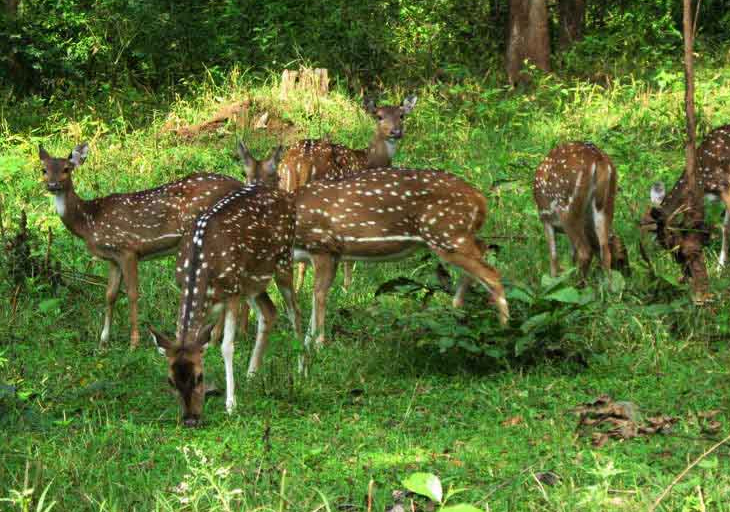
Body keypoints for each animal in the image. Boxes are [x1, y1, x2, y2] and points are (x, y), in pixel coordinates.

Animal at [39, 142, 242, 348]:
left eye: (66, 169)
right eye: (44, 170)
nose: (53, 185)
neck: (89, 221)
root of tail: (241, 184)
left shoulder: (128, 249)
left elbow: (132, 294)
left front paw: (133, 342)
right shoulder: (113, 258)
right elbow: (110, 294)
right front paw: (104, 340)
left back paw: (215, 338)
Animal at [149, 145, 300, 428]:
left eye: (199, 376)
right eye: (170, 381)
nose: (190, 420)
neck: (200, 267)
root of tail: (284, 195)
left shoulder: (231, 293)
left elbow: (226, 346)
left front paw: (231, 404)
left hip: (284, 259)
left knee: (294, 312)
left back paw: (302, 367)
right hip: (252, 281)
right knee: (269, 311)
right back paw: (252, 374)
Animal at [278, 95, 416, 288]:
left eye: (401, 115)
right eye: (379, 116)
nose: (395, 132)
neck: (368, 160)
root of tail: (299, 164)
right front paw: (347, 287)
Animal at [528, 141, 624, 280]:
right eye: (622, 257)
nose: (626, 273)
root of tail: (597, 158)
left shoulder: (546, 220)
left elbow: (553, 257)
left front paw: (555, 281)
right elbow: (571, 256)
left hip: (567, 208)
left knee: (585, 251)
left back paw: (578, 282)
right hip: (607, 203)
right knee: (604, 251)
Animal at [640, 124, 728, 268]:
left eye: (652, 229)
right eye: (639, 225)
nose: (643, 253)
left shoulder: (725, 187)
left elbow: (725, 228)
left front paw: (719, 268)